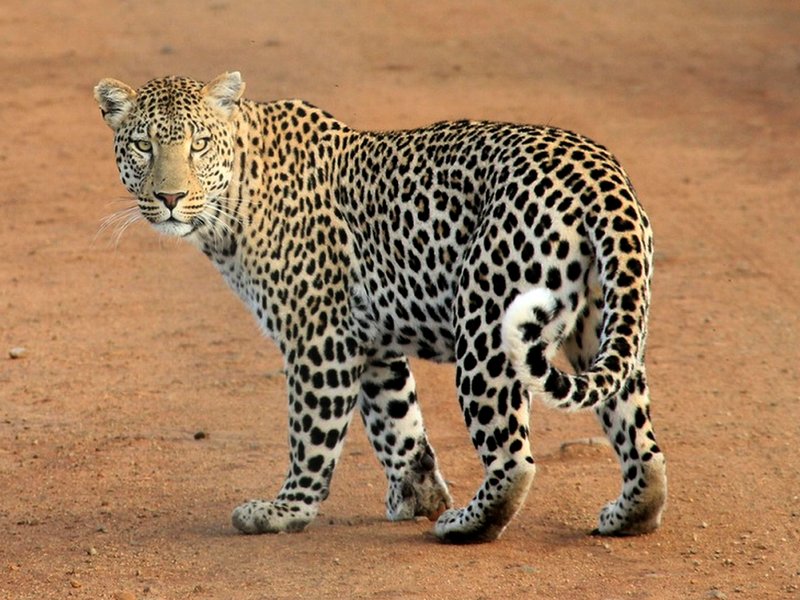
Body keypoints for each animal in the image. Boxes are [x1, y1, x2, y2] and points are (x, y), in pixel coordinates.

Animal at [94, 72, 667, 543]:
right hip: (602, 324)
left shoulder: (319, 338)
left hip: (486, 327)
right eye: (143, 146)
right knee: (640, 439)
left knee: (513, 459)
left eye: (199, 145)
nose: (170, 198)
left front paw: (285, 511)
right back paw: (628, 515)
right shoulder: (370, 342)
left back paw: (465, 524)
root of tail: (599, 175)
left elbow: (312, 434)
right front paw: (418, 494)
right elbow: (398, 424)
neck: (234, 198)